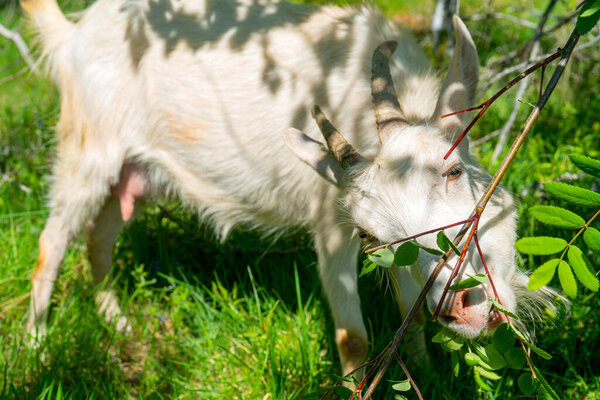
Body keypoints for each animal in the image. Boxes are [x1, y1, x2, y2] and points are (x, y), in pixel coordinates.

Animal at [21, 0, 552, 378]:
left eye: (453, 171)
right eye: (368, 235)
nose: (460, 305)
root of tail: (74, 34)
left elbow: (411, 313)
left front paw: (422, 369)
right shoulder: (331, 225)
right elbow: (353, 339)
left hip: (134, 171)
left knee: (99, 237)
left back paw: (117, 321)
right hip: (87, 148)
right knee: (52, 241)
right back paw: (40, 349)